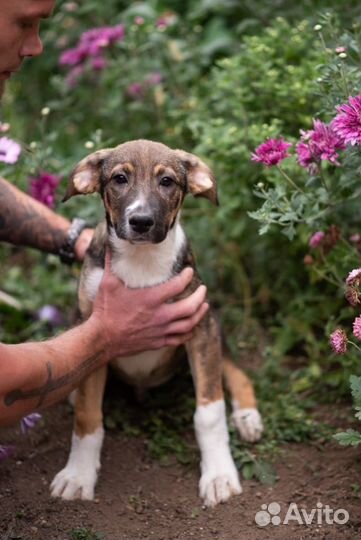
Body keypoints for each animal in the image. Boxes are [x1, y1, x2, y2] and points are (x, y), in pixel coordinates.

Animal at [50, 138, 262, 506]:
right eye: (119, 179)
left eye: (167, 182)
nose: (141, 221)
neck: (142, 261)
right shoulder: (93, 334)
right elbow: (88, 416)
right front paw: (77, 475)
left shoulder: (200, 327)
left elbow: (209, 412)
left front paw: (219, 475)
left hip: (213, 317)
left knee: (234, 370)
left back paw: (247, 416)